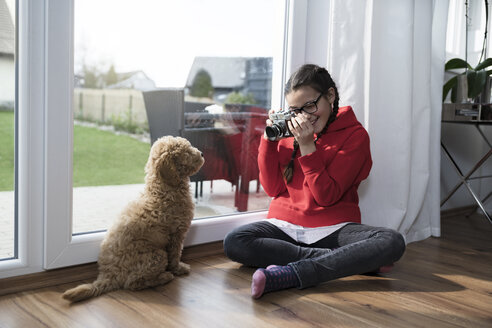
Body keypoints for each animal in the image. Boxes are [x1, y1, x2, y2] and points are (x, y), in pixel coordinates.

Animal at [62, 136, 205, 302]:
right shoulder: (176, 234)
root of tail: (109, 275)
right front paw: (179, 268)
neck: (163, 189)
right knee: (133, 283)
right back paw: (164, 277)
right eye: (187, 152)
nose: (202, 154)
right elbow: (175, 255)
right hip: (156, 255)